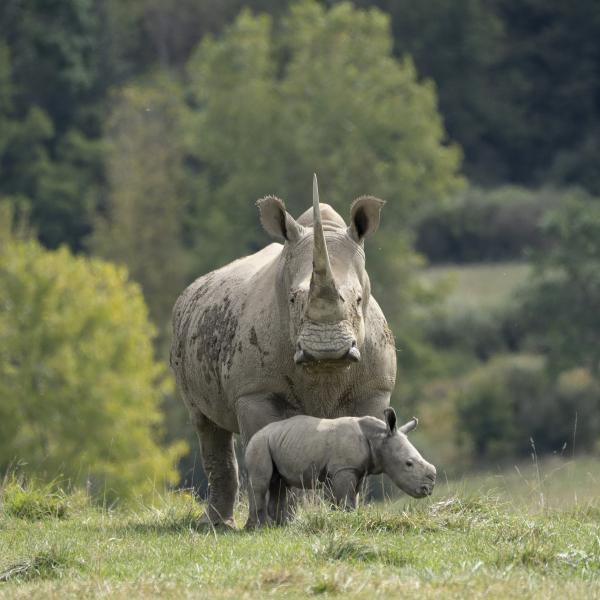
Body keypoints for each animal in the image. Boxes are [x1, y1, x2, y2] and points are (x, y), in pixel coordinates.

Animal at [169, 175, 396, 524]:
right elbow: (263, 443)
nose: (326, 351)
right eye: (291, 299)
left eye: (359, 299)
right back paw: (216, 525)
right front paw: (274, 523)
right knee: (205, 423)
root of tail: (193, 288)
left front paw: (343, 516)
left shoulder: (373, 389)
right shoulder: (255, 392)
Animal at [244, 406, 436, 528]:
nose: (428, 489)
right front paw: (347, 520)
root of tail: (256, 433)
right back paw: (258, 529)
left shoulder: (357, 470)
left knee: (280, 483)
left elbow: (353, 497)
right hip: (259, 443)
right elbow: (346, 498)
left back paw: (284, 526)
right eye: (408, 464)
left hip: (277, 441)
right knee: (261, 482)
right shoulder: (345, 469)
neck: (379, 438)